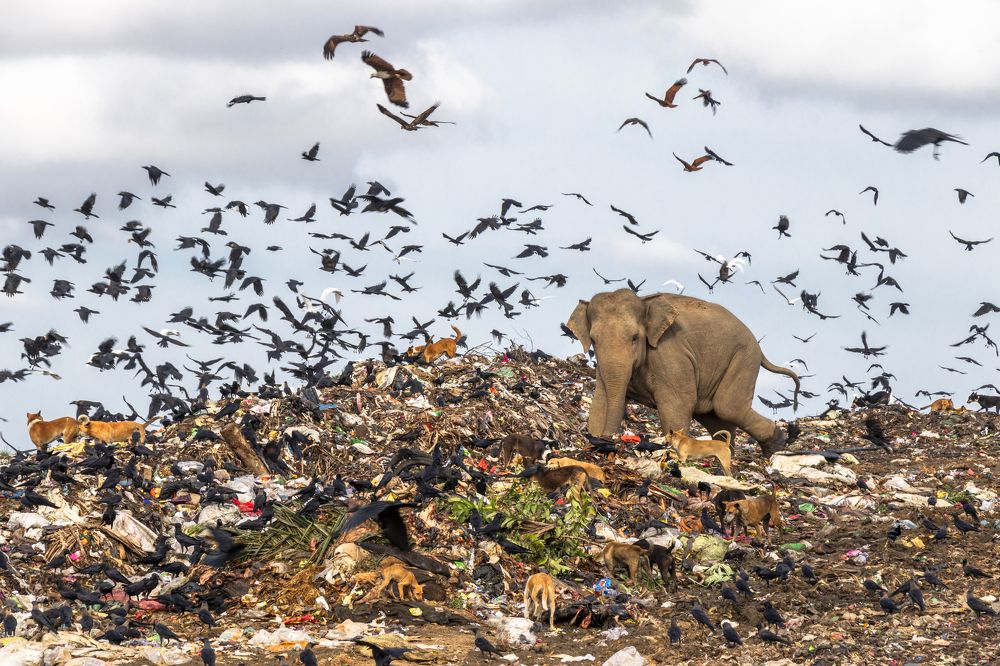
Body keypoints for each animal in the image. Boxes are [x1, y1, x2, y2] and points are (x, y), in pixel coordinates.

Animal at [566, 288, 799, 456]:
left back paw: (775, 448)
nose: (608, 440)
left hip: (743, 358)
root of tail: (759, 348)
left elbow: (677, 405)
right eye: (593, 340)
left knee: (728, 407)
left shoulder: (671, 356)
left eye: (634, 338)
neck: (645, 302)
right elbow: (600, 402)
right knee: (715, 416)